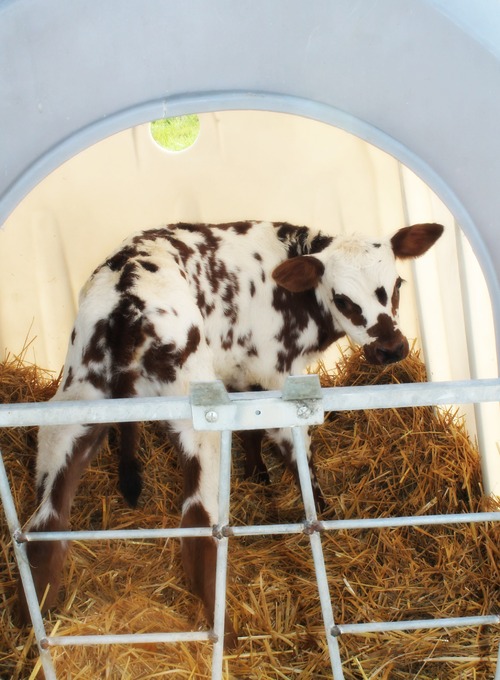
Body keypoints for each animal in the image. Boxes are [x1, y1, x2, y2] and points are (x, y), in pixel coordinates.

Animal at [18, 222, 442, 644]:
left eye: (398, 283)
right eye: (342, 298)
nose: (391, 349)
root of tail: (127, 300)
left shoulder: (244, 372)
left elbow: (251, 433)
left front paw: (257, 474)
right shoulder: (278, 375)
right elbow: (297, 453)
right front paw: (321, 511)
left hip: (74, 403)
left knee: (46, 523)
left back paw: (30, 622)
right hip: (199, 418)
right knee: (197, 522)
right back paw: (228, 632)